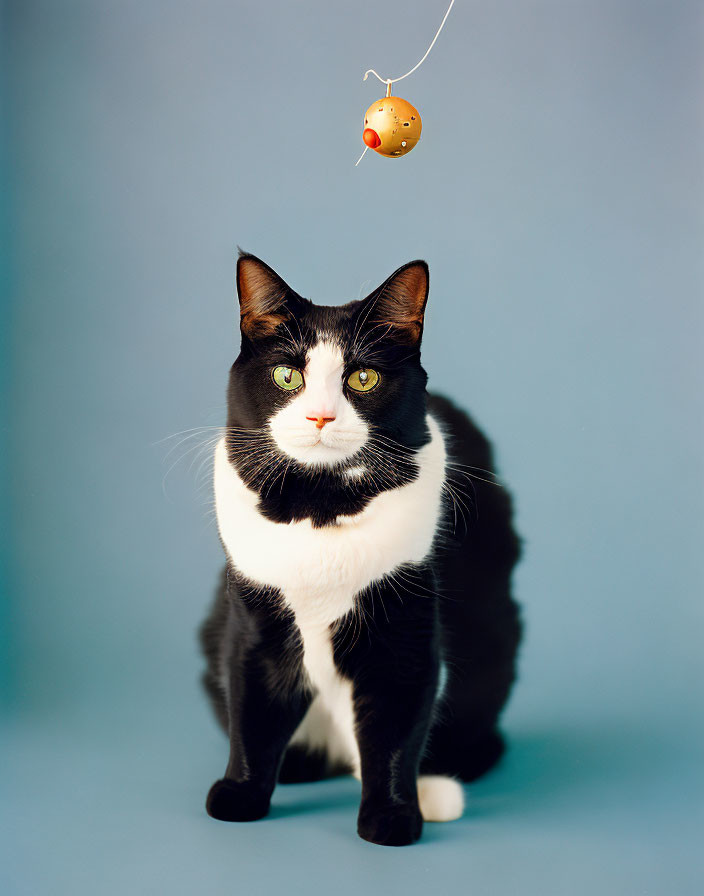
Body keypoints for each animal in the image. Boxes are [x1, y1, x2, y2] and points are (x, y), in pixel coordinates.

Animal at [201, 254, 520, 848]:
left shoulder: (404, 624)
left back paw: (441, 784)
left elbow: (395, 722)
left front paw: (393, 815)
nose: (320, 417)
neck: (320, 501)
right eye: (288, 375)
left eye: (362, 378)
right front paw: (241, 793)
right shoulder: (253, 618)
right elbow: (252, 705)